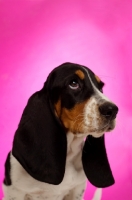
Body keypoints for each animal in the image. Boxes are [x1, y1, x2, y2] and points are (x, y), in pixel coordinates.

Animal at [2, 63, 118, 200]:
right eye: (73, 83)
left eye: (101, 87)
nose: (113, 110)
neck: (67, 154)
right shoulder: (15, 191)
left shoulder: (76, 190)